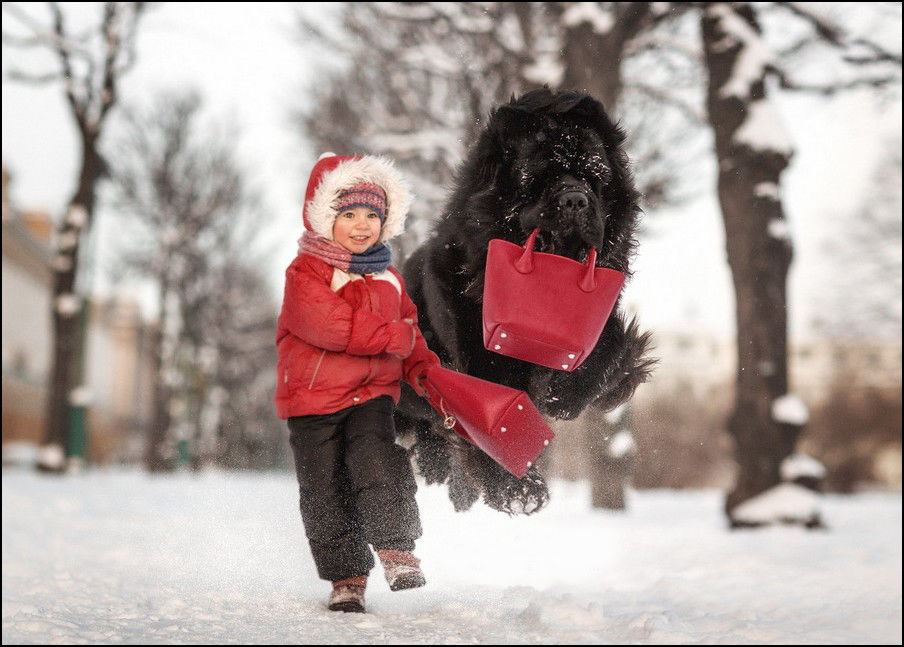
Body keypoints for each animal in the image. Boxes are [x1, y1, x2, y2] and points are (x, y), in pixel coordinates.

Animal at [400, 88, 652, 512]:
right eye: (539, 178)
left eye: (594, 178)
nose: (575, 200)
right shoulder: (478, 358)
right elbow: (497, 420)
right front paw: (518, 490)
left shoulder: (602, 321)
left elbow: (609, 350)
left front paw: (561, 394)